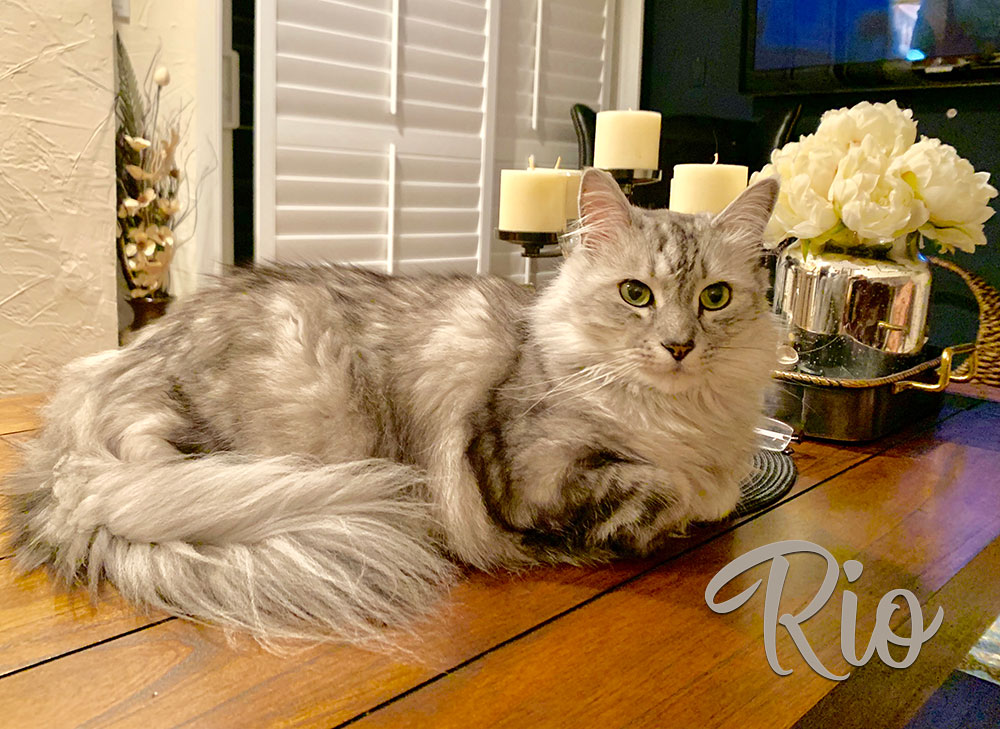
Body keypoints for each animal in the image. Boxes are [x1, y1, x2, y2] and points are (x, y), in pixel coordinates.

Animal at [1, 168, 780, 644]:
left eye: (715, 298)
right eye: (635, 294)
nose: (678, 346)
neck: (682, 420)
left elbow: (712, 494)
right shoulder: (529, 472)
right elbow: (655, 488)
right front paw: (652, 513)